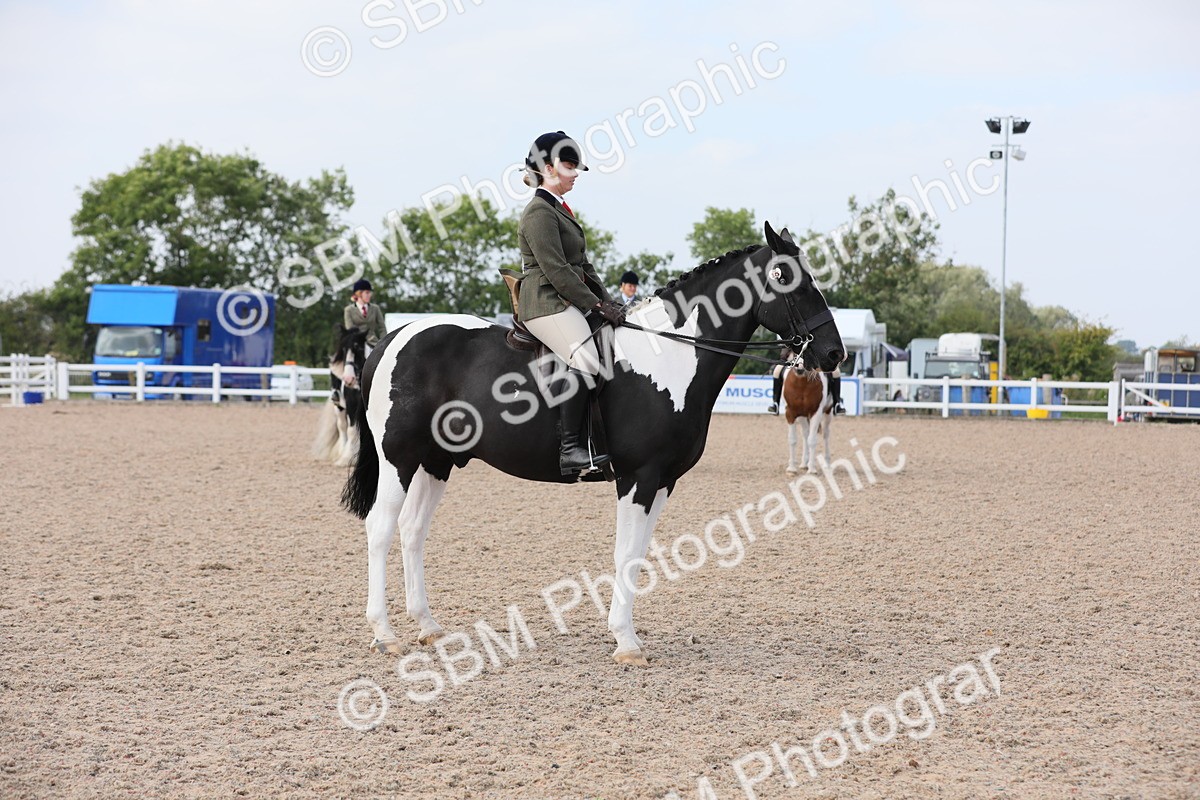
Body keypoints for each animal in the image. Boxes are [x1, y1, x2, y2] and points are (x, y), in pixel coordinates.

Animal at [312, 326, 368, 466]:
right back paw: (341, 452)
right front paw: (346, 458)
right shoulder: (351, 405)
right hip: (339, 408)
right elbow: (351, 430)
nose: (348, 379)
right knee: (342, 427)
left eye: (359, 349)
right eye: (343, 350)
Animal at [341, 222, 845, 666]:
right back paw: (384, 634)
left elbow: (638, 555)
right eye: (788, 278)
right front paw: (625, 642)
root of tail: (394, 337)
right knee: (380, 529)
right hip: (399, 459)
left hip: (436, 461)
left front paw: (627, 635)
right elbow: (625, 554)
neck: (671, 356)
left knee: (412, 530)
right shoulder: (638, 477)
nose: (834, 354)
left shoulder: (663, 481)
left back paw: (427, 626)